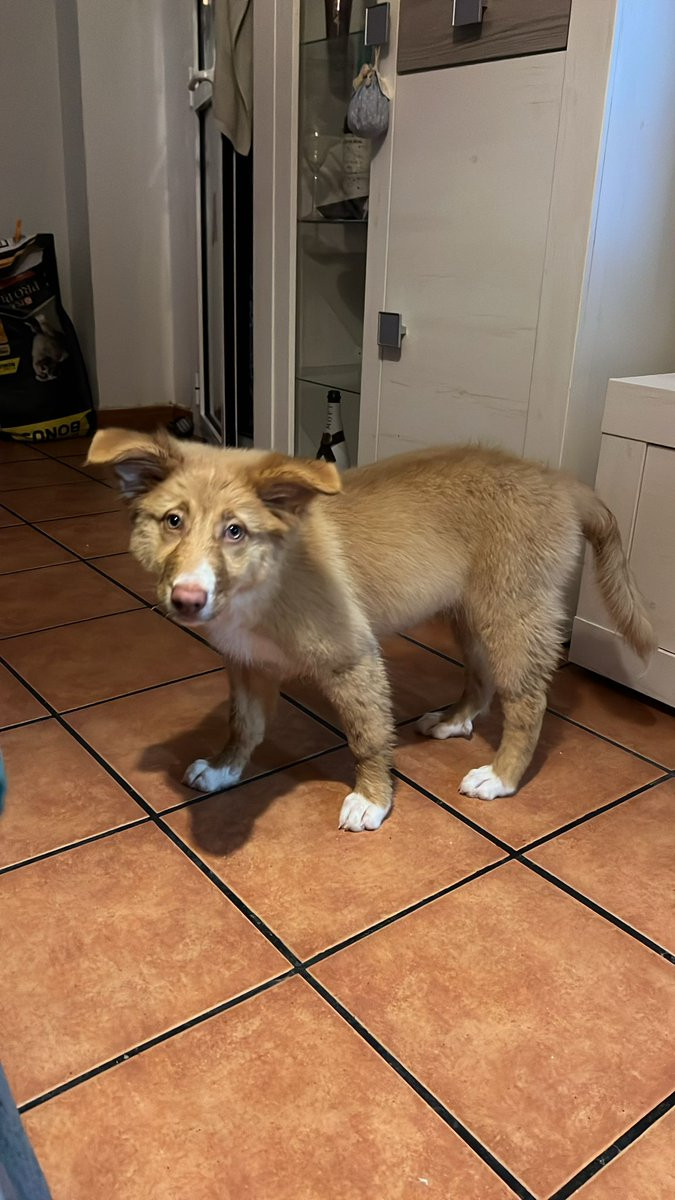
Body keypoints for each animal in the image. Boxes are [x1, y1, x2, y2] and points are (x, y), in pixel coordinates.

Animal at [87, 430, 655, 831]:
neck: (268, 577)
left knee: (527, 700)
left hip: (514, 613)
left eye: (235, 531)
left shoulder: (352, 657)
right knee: (481, 678)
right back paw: (454, 720)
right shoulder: (248, 662)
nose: (187, 599)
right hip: (467, 613)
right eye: (173, 521)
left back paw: (502, 776)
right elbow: (244, 724)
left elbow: (367, 736)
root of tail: (561, 481)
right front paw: (226, 769)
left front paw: (372, 799)